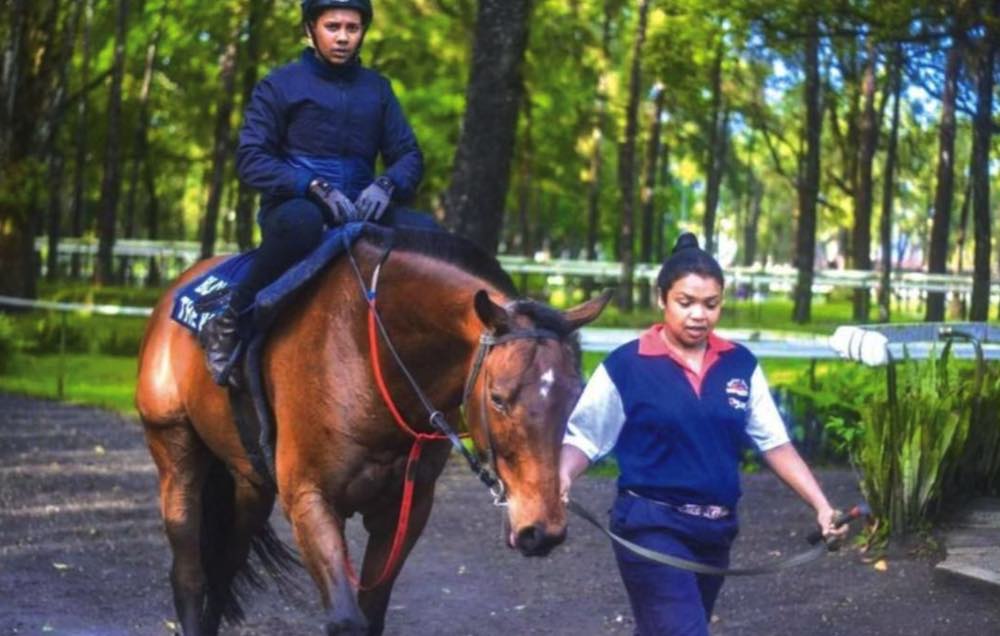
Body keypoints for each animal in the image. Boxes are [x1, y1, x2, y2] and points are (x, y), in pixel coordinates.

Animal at [135, 224, 611, 635]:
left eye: (576, 394)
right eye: (497, 397)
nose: (542, 529)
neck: (367, 354)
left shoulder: (405, 508)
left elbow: (373, 614)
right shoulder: (310, 499)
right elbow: (347, 620)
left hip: (249, 482)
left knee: (224, 569)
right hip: (175, 451)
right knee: (190, 574)